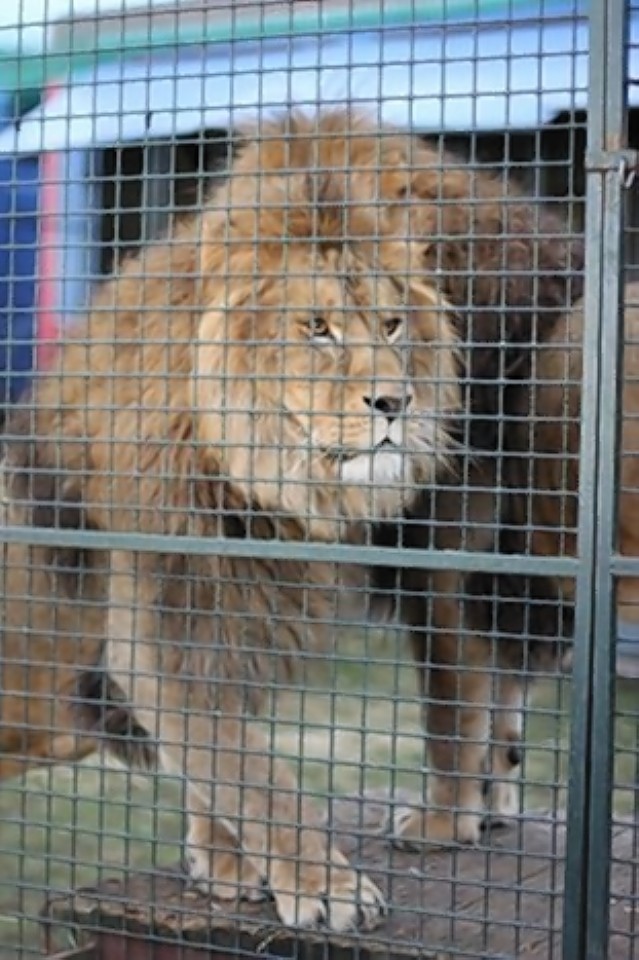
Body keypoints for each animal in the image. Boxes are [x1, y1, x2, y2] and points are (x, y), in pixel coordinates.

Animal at [0, 107, 616, 928]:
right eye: (317, 327)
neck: (264, 483)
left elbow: (269, 753)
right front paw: (288, 879)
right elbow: (238, 765)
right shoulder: (170, 624)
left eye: (390, 324)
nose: (394, 402)